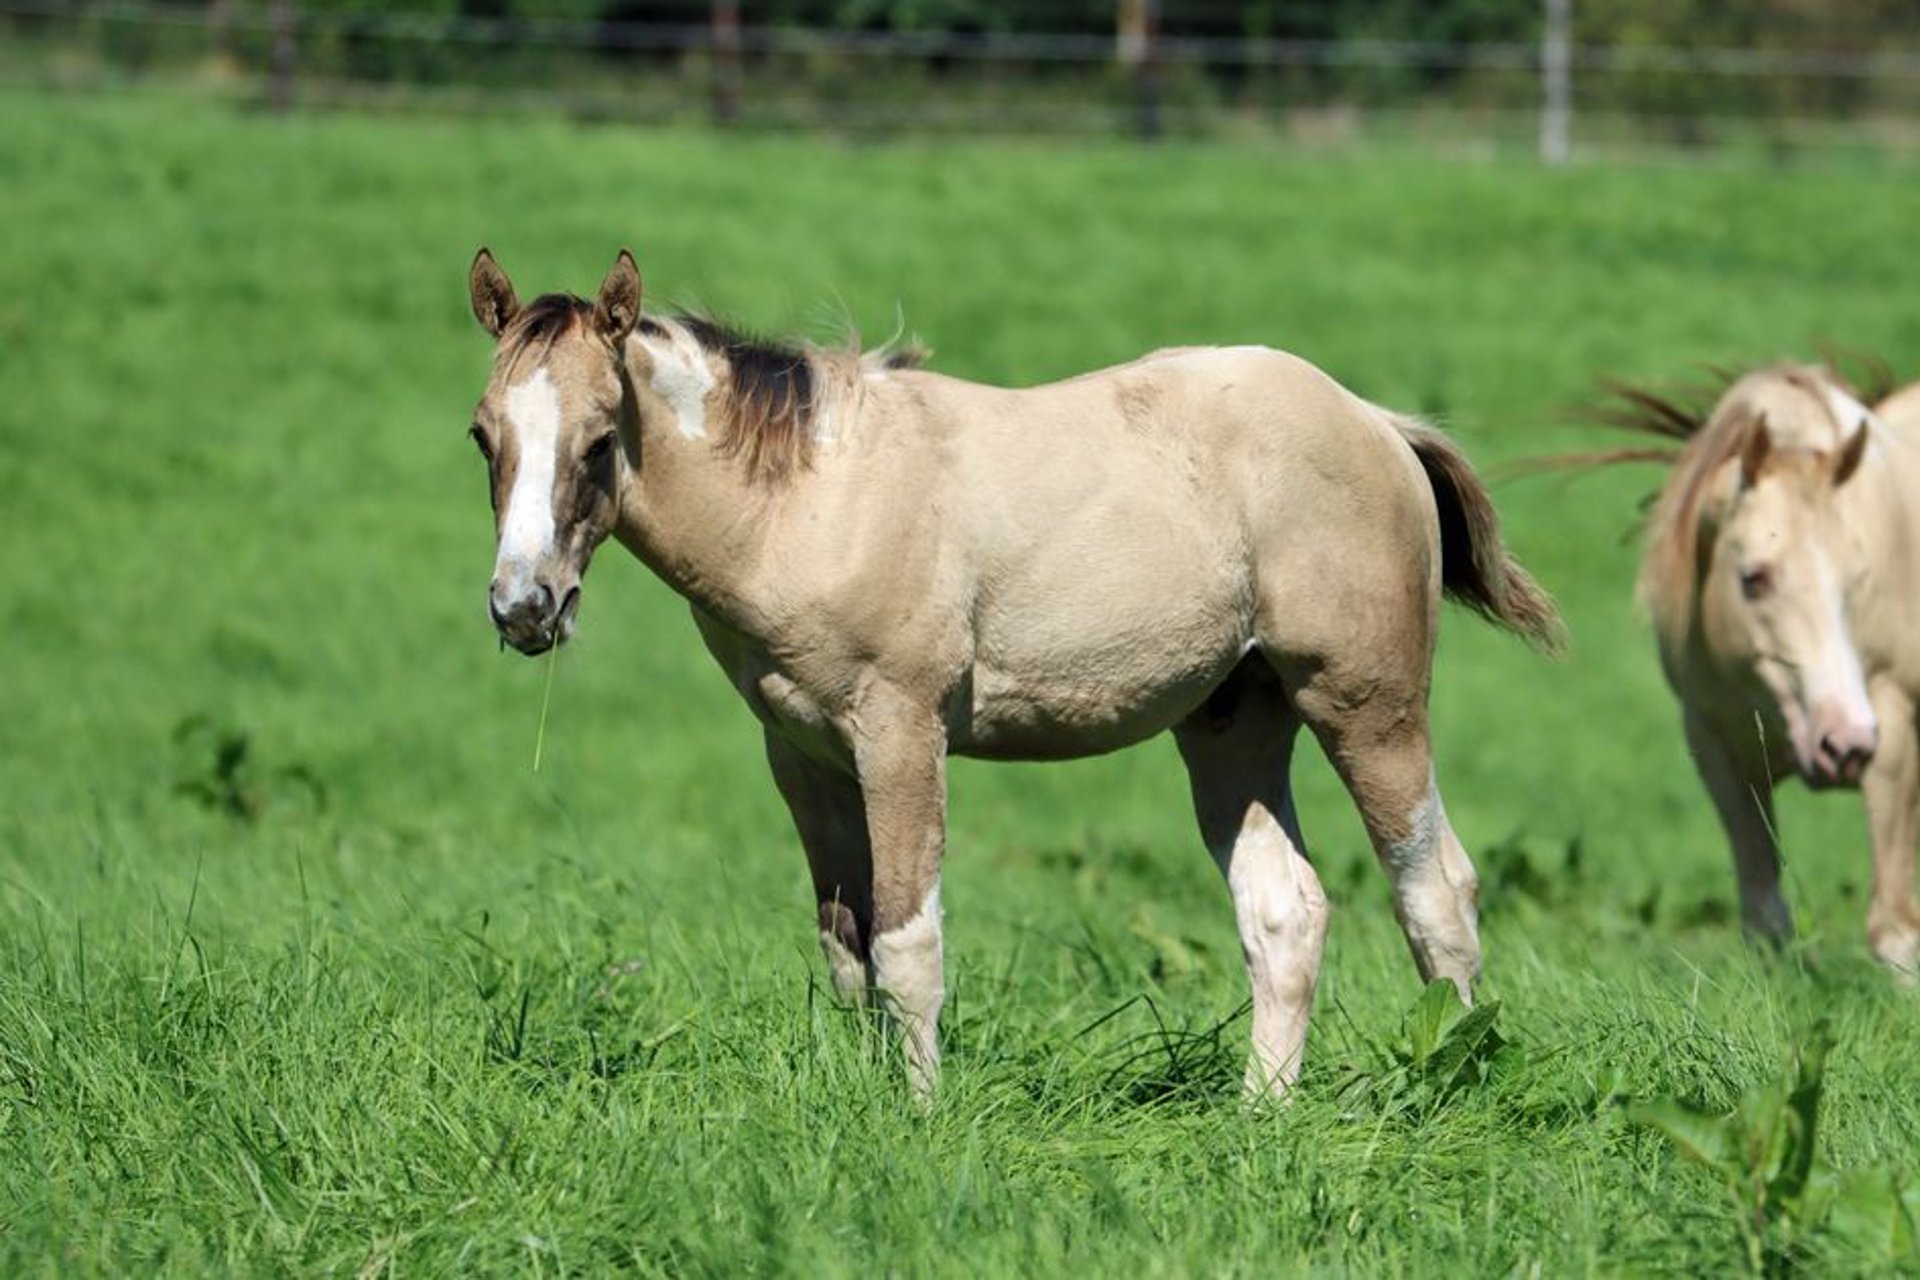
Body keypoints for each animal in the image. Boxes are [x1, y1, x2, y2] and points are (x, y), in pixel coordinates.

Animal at [461, 248, 1562, 1096]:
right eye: (483, 435)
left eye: (600, 437)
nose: (525, 606)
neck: (812, 498)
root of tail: (1377, 421)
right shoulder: (803, 755)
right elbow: (845, 945)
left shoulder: (900, 730)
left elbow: (908, 943)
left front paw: (918, 1115)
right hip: (1233, 725)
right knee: (1286, 910)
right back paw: (1262, 1113)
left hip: (1367, 705)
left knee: (1437, 891)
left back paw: (1452, 1083)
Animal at [1593, 362, 1920, 976]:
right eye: (1753, 578)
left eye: (1856, 580)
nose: (1842, 743)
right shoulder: (1714, 744)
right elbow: (1765, 914)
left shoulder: (1890, 728)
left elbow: (1894, 928)